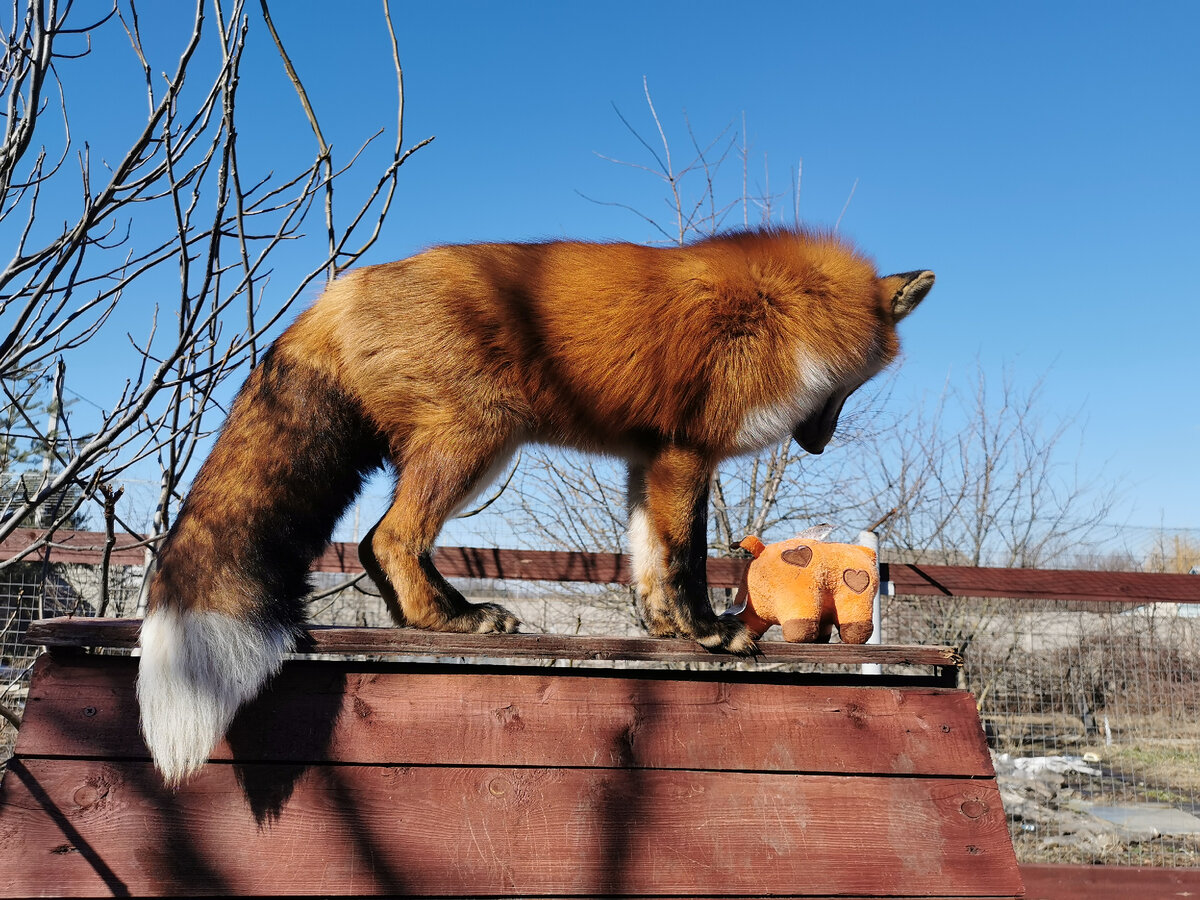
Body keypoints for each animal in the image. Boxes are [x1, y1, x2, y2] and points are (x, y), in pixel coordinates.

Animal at [136, 229, 931, 787]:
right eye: (852, 386)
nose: (819, 446)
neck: (782, 313)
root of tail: (342, 289)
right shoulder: (687, 452)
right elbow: (685, 557)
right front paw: (710, 632)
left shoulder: (648, 460)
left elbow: (648, 560)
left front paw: (666, 631)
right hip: (476, 441)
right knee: (387, 539)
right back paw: (453, 620)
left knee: (371, 545)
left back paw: (432, 619)